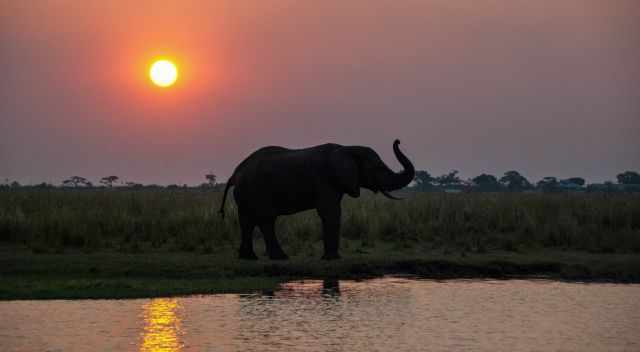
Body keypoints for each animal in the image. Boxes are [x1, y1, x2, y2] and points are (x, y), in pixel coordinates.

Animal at [220, 139, 416, 260]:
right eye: (378, 168)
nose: (398, 141)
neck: (346, 148)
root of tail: (235, 173)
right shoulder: (325, 180)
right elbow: (331, 213)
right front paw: (332, 259)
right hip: (257, 190)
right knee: (265, 220)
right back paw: (280, 257)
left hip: (247, 193)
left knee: (248, 221)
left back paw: (249, 258)